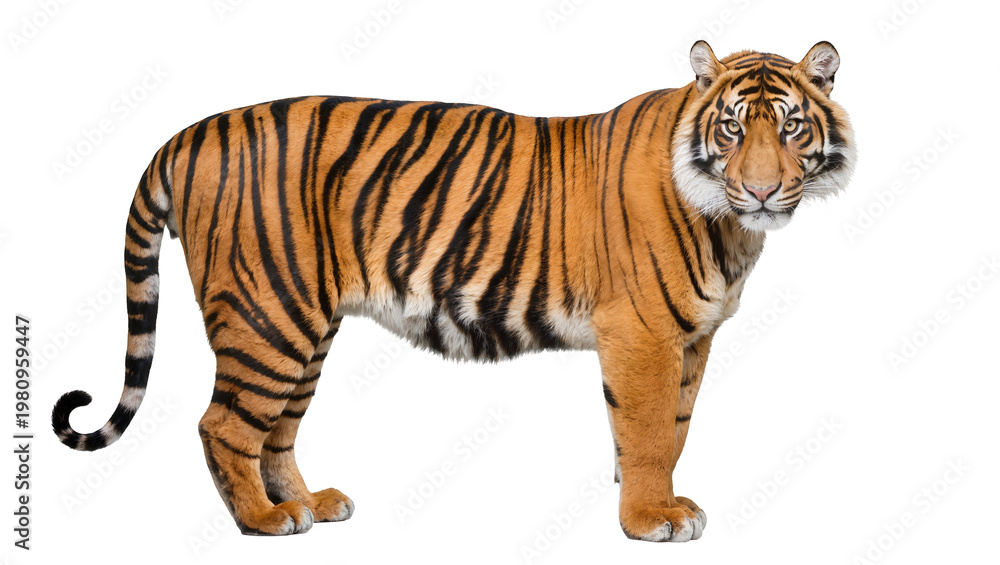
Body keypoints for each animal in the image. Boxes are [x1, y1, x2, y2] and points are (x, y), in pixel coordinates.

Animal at [52, 40, 855, 541]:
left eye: (790, 127)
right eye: (731, 129)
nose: (761, 190)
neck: (731, 231)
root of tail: (186, 134)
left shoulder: (692, 338)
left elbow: (677, 426)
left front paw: (657, 501)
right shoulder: (643, 335)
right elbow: (651, 430)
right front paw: (650, 518)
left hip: (305, 327)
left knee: (274, 429)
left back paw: (311, 504)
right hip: (267, 316)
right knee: (222, 425)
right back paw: (263, 521)